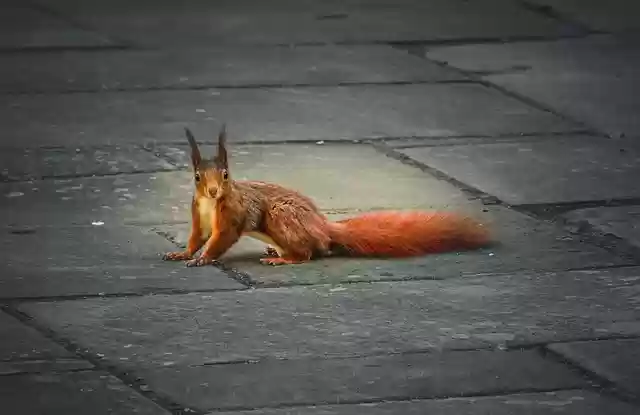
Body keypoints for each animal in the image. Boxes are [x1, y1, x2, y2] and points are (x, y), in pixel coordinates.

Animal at [162, 126, 491, 267]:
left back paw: (284, 259)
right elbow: (198, 236)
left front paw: (203, 259)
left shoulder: (232, 215)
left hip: (282, 217)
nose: (213, 190)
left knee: (309, 254)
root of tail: (323, 227)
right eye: (197, 177)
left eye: (226, 175)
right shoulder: (199, 214)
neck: (210, 203)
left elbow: (221, 239)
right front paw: (182, 254)